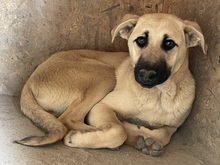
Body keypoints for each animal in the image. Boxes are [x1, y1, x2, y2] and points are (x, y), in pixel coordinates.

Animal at [15, 13, 206, 157]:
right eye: (141, 41)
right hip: (104, 74)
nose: (145, 75)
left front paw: (144, 134)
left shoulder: (173, 126)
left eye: (169, 43)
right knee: (68, 119)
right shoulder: (101, 107)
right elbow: (119, 131)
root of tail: (30, 80)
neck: (156, 95)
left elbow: (164, 134)